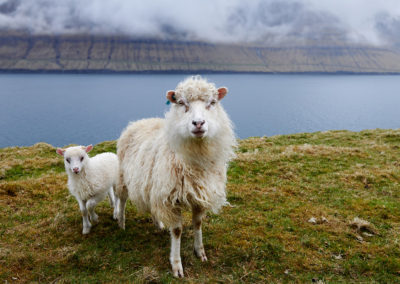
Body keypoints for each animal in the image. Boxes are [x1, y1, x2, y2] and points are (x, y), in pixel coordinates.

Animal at [115, 75, 236, 278]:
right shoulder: (170, 198)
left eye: (212, 102)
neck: (195, 160)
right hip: (124, 177)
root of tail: (138, 121)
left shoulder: (198, 195)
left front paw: (200, 252)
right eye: (181, 103)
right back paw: (121, 223)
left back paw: (158, 225)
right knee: (122, 199)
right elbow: (178, 230)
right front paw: (177, 265)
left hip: (152, 186)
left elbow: (197, 224)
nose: (198, 123)